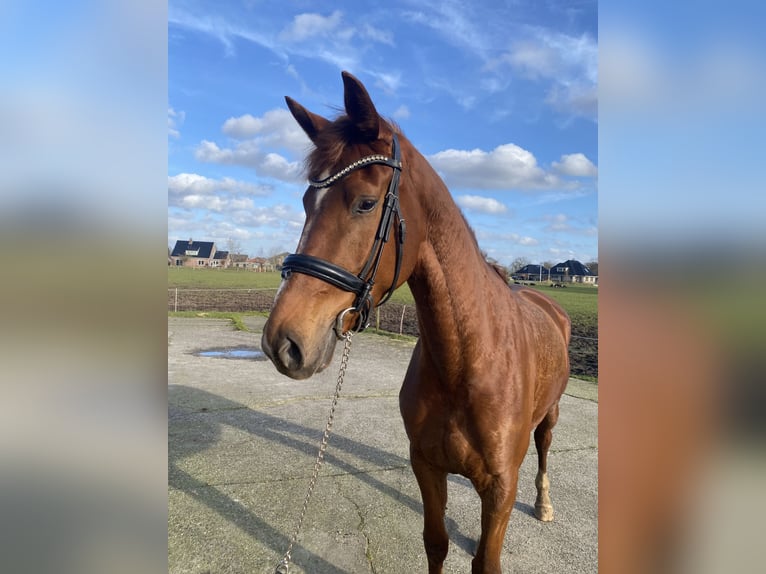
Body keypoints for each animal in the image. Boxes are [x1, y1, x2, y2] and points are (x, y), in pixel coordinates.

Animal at [262, 72, 568, 574]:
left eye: (366, 204)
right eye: (308, 199)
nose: (281, 342)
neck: (466, 361)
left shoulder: (501, 484)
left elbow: (486, 561)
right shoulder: (426, 466)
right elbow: (436, 543)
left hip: (551, 415)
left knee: (544, 448)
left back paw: (543, 504)